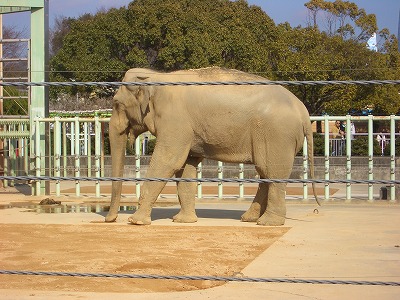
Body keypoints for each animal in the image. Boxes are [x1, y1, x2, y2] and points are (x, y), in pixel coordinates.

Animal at [104, 67, 318, 225]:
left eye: (116, 104)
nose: (109, 219)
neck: (156, 76)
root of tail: (303, 111)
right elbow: (186, 166)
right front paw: (183, 221)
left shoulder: (175, 121)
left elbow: (168, 161)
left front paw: (136, 221)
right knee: (265, 173)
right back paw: (249, 219)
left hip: (277, 135)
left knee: (273, 173)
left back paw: (268, 223)